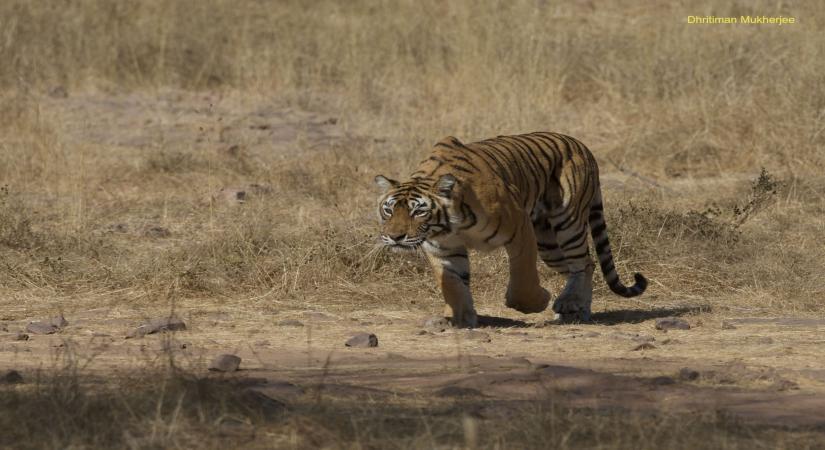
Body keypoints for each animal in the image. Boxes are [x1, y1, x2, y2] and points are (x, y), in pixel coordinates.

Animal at [374, 132, 647, 328]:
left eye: (418, 212)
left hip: (567, 222)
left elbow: (522, 280)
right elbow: (453, 284)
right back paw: (576, 310)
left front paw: (538, 302)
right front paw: (459, 319)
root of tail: (582, 146)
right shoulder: (443, 249)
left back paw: (571, 305)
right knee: (580, 265)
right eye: (388, 210)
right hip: (549, 245)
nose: (395, 237)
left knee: (584, 263)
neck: (450, 225)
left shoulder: (519, 226)